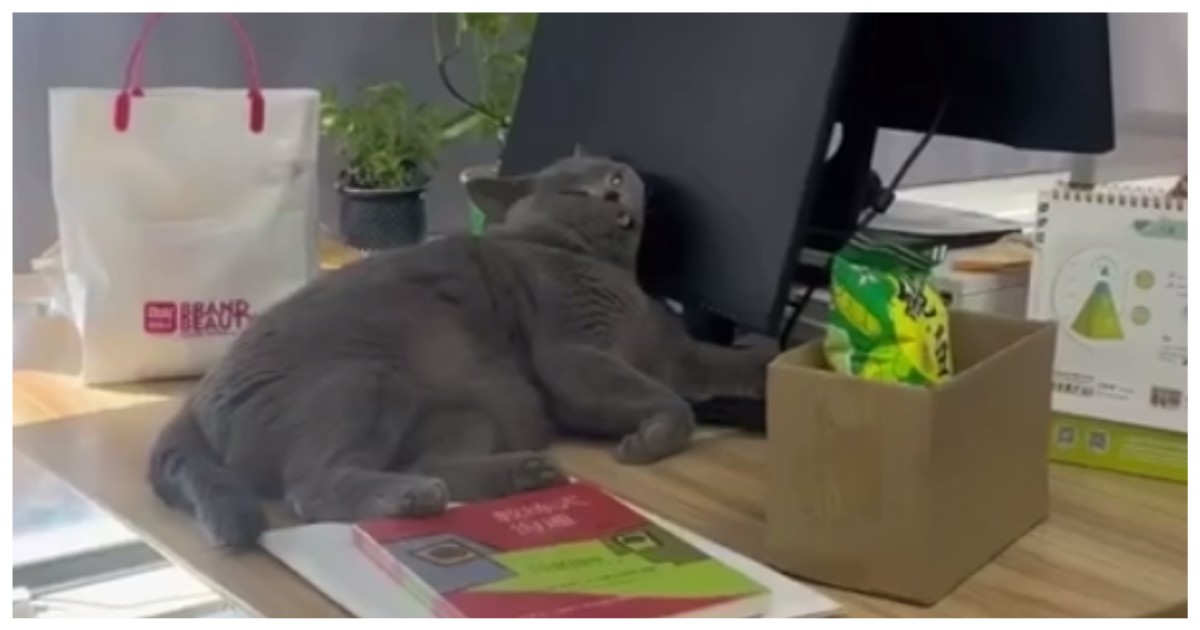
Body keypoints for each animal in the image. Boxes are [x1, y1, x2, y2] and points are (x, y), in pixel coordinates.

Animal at [148, 155, 775, 549]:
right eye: (578, 191)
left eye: (617, 175)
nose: (616, 193)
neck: (614, 274)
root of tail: (193, 401)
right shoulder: (576, 357)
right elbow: (674, 403)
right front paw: (648, 441)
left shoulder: (678, 356)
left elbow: (737, 367)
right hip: (364, 381)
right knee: (313, 487)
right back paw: (414, 499)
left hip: (478, 406)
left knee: (427, 461)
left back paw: (526, 472)